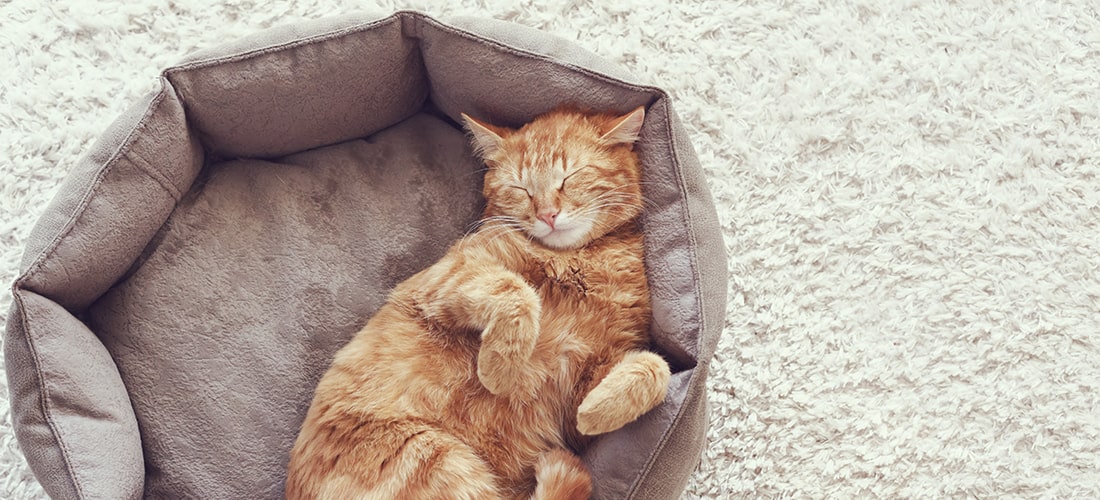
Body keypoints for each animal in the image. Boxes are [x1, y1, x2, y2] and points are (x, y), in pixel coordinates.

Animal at [283, 106, 673, 500]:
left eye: (570, 176)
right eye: (521, 188)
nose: (547, 215)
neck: (575, 262)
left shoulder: (581, 385)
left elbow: (656, 369)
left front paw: (595, 410)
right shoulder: (449, 276)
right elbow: (517, 292)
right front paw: (499, 368)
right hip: (436, 460)